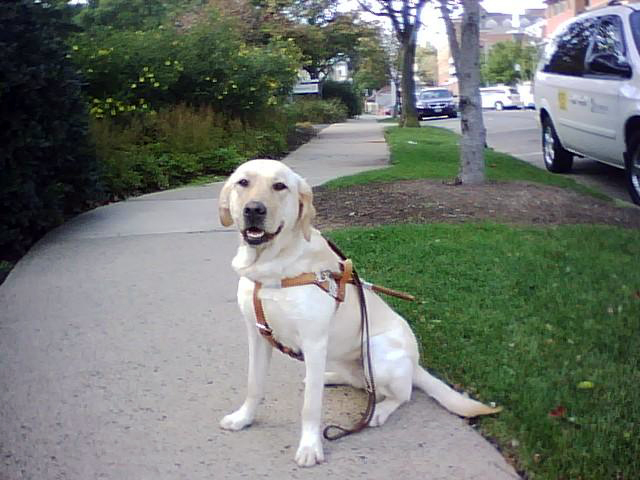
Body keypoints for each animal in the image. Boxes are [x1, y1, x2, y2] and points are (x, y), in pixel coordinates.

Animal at [219, 160, 500, 464]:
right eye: (243, 182)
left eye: (280, 186)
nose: (254, 210)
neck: (270, 266)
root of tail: (416, 364)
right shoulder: (258, 335)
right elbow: (254, 385)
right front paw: (244, 418)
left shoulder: (314, 342)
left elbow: (310, 406)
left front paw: (310, 447)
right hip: (339, 355)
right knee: (357, 383)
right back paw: (328, 378)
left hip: (374, 352)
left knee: (402, 394)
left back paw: (378, 411)